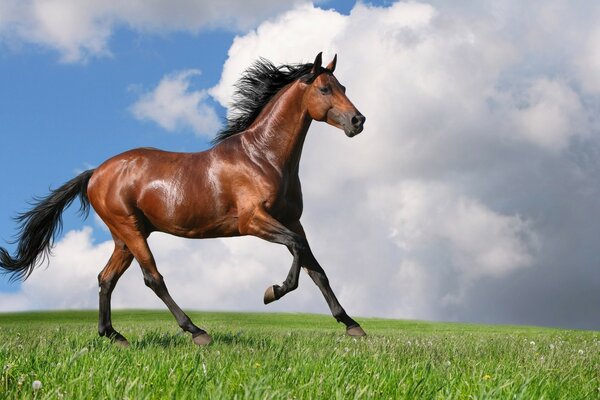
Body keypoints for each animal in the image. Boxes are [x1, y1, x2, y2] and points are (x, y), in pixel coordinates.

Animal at [0, 52, 366, 346]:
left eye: (344, 87)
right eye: (325, 89)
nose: (358, 121)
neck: (263, 157)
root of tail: (95, 173)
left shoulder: (293, 220)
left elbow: (316, 268)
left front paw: (352, 325)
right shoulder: (254, 221)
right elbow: (297, 250)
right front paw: (272, 292)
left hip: (124, 237)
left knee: (106, 279)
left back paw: (114, 336)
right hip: (130, 230)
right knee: (152, 278)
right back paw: (196, 331)